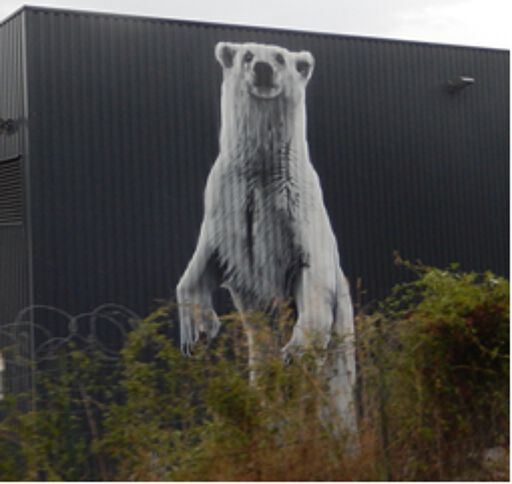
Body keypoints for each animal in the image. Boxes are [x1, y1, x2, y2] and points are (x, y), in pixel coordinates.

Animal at [176, 39, 356, 430]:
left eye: (280, 58)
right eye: (247, 55)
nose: (262, 68)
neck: (261, 171)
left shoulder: (298, 209)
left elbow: (314, 276)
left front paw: (297, 351)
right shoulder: (224, 207)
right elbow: (200, 267)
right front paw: (196, 333)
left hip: (345, 329)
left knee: (336, 390)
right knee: (261, 366)